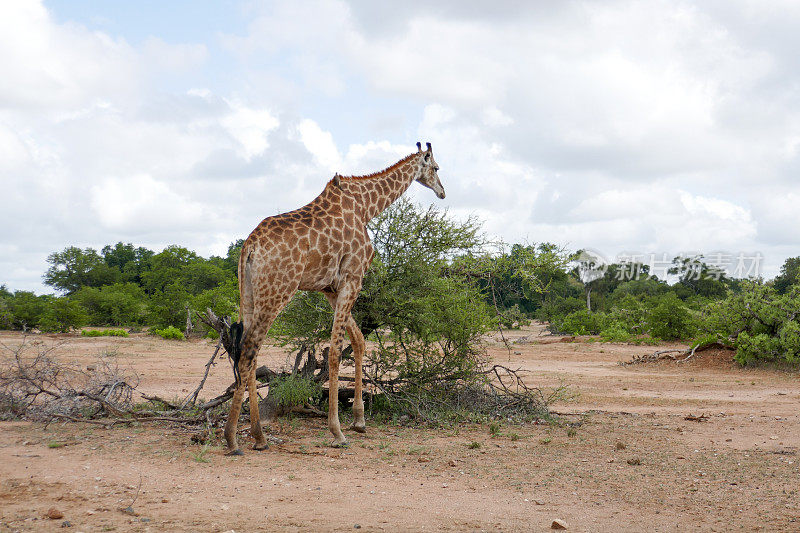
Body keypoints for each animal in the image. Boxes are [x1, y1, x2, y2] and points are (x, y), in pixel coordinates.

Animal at [223, 141, 444, 454]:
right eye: (436, 168)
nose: (442, 191)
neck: (366, 207)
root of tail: (249, 247)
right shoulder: (353, 277)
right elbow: (336, 351)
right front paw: (338, 430)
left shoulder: (330, 288)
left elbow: (359, 341)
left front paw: (359, 420)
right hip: (278, 291)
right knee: (249, 350)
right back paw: (233, 438)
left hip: (249, 294)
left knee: (248, 352)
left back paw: (259, 438)